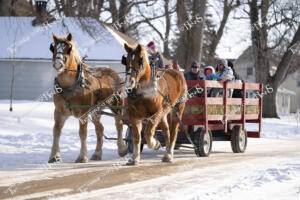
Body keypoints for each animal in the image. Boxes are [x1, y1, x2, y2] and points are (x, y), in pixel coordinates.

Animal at [47, 32, 126, 163]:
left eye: (69, 49)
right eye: (53, 48)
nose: (58, 64)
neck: (70, 86)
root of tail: (116, 74)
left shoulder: (83, 113)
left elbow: (82, 133)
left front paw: (82, 156)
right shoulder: (58, 111)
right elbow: (56, 131)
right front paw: (54, 156)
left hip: (116, 105)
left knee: (119, 124)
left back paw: (122, 149)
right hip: (96, 111)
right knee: (100, 129)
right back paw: (97, 154)